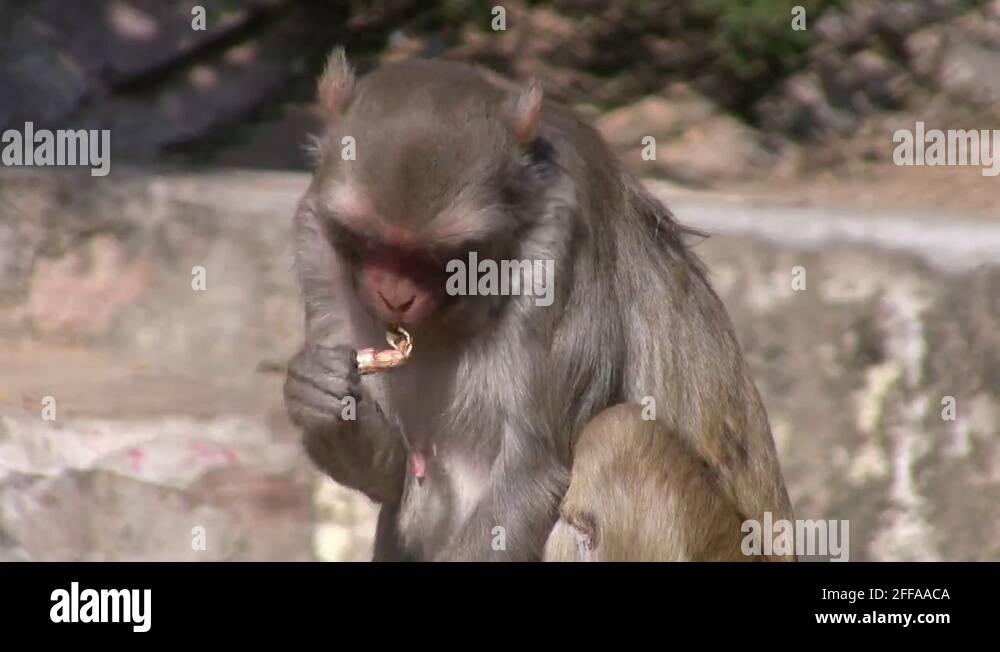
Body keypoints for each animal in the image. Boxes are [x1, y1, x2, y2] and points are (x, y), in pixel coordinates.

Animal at [283, 50, 796, 561]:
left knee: (622, 440)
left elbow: (531, 475)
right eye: (370, 242)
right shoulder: (318, 248)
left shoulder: (559, 252)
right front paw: (321, 396)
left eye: (436, 256)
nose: (394, 296)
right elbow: (396, 478)